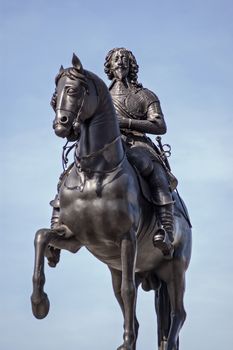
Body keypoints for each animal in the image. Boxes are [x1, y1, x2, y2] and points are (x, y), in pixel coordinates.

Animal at [30, 54, 191, 350]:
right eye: (54, 96)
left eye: (72, 90)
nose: (61, 125)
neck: (95, 172)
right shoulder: (76, 238)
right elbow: (41, 236)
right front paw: (39, 304)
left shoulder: (127, 238)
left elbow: (129, 292)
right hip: (122, 269)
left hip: (174, 268)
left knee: (178, 313)